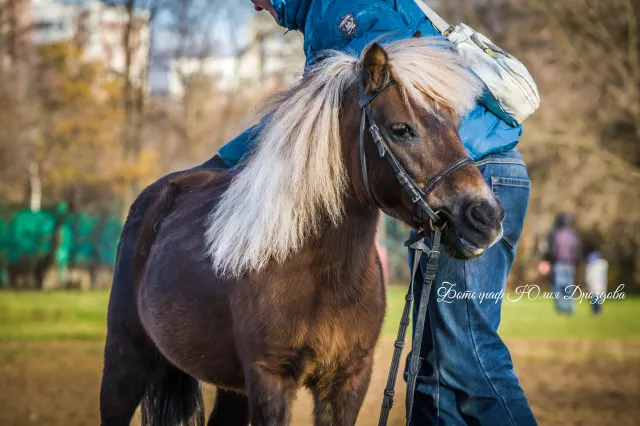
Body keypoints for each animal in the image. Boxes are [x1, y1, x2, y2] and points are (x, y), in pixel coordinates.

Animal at [99, 37, 505, 426]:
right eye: (401, 129)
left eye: (455, 124)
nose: (486, 216)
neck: (322, 277)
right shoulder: (271, 381)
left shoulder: (348, 382)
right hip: (125, 363)